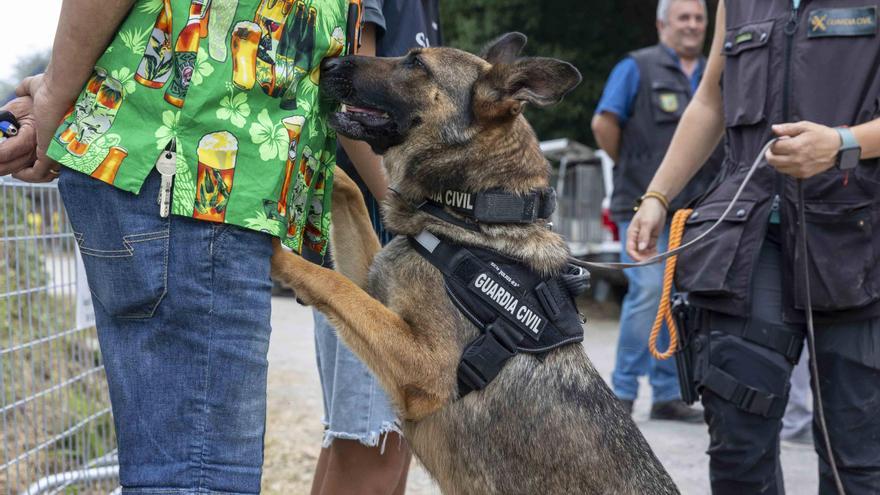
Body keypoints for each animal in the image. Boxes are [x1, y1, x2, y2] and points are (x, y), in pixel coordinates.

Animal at [272, 33, 676, 494]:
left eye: (416, 63)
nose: (330, 63)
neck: (470, 213)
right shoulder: (374, 287)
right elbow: (352, 204)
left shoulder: (425, 369)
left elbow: (333, 283)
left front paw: (276, 252)